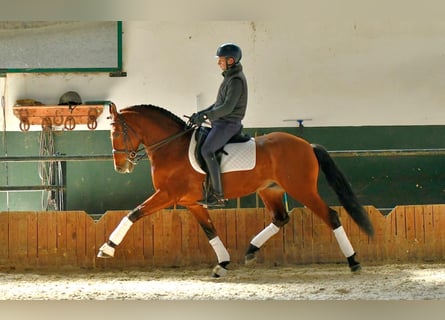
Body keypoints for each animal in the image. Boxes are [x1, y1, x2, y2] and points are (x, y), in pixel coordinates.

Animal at [98, 103, 374, 278]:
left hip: (301, 189)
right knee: (280, 218)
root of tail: (307, 145)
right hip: (270, 190)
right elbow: (210, 231)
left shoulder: (168, 195)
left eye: (116, 133)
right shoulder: (191, 202)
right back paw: (251, 249)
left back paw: (353, 262)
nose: (121, 167)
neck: (171, 147)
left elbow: (133, 214)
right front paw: (222, 264)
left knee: (331, 216)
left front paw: (107, 248)